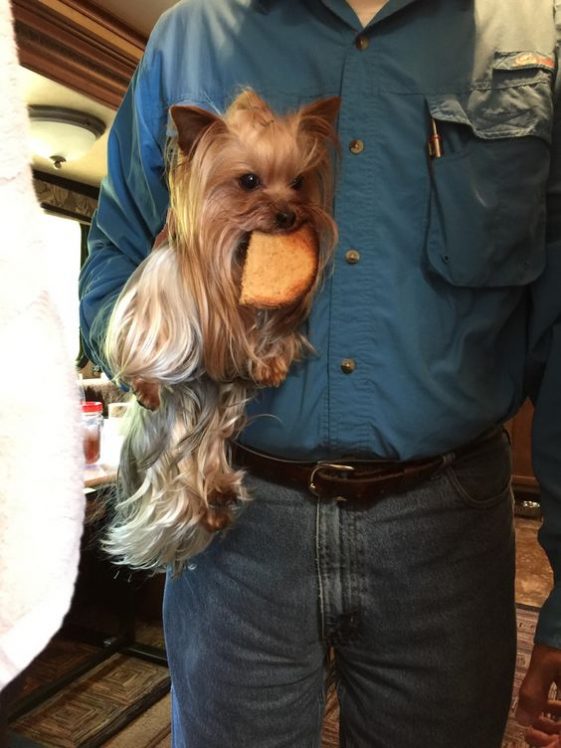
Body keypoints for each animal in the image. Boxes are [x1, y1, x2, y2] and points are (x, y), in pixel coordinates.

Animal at [103, 87, 340, 568]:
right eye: (248, 181)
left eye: (299, 182)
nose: (289, 216)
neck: (235, 252)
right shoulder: (160, 294)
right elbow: (149, 338)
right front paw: (144, 382)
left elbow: (267, 331)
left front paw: (269, 364)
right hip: (181, 418)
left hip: (216, 413)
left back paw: (218, 499)